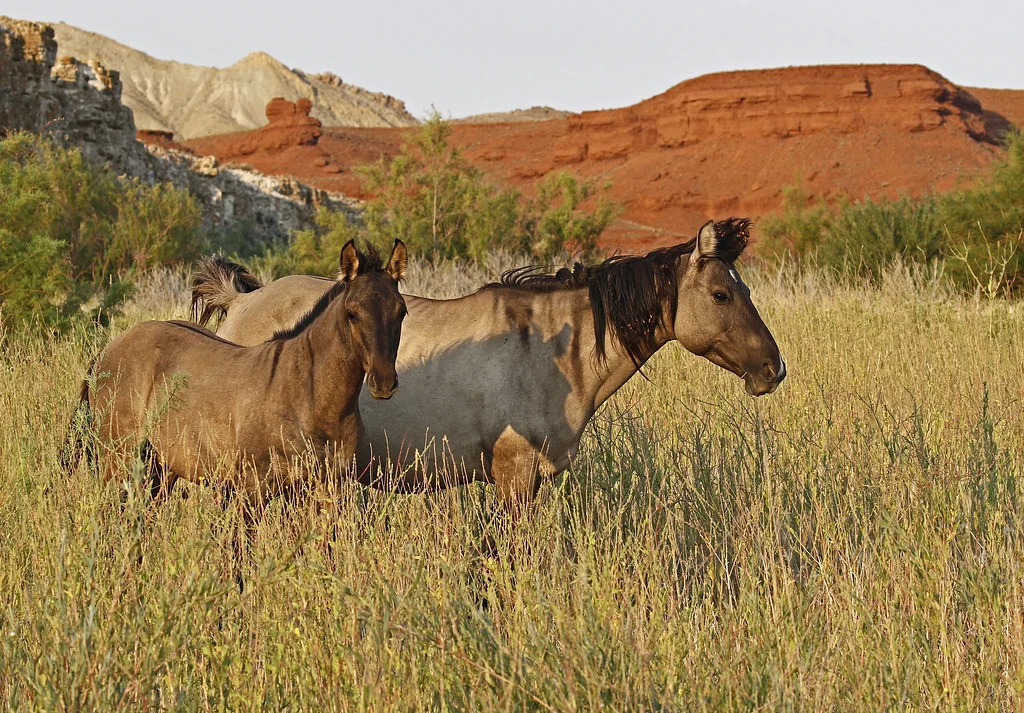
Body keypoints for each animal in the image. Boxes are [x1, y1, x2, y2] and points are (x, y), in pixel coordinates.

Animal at [68, 240, 407, 524]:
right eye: (352, 313)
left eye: (401, 312)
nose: (383, 383)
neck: (309, 397)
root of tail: (108, 350)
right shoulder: (253, 489)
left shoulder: (328, 490)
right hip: (119, 461)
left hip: (160, 469)